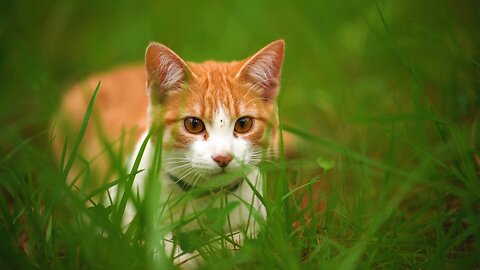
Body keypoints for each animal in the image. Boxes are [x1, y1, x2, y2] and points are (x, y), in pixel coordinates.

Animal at [53, 40, 284, 266]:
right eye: (193, 125)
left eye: (243, 124)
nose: (223, 157)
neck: (203, 198)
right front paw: (182, 255)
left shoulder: (260, 217)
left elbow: (245, 239)